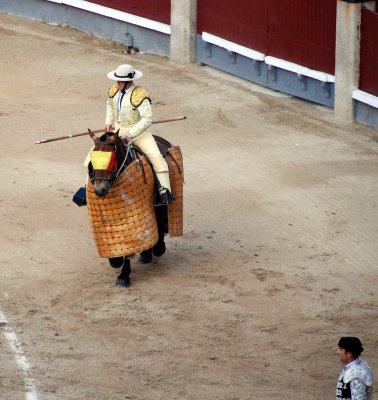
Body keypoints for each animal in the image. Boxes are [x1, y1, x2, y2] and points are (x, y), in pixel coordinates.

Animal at [85, 130, 183, 286]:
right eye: (92, 163)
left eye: (111, 161)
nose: (99, 190)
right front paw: (116, 261)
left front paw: (124, 276)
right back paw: (146, 254)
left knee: (160, 221)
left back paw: (157, 249)